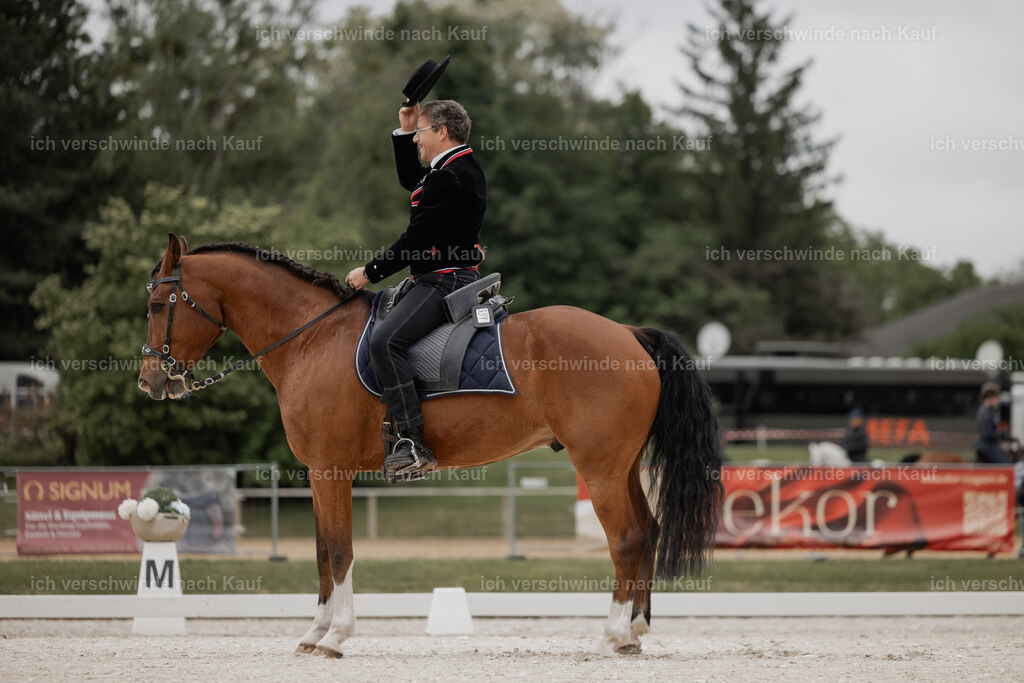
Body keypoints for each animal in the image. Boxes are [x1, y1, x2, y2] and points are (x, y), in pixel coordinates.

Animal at [138, 233, 723, 657]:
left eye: (159, 304)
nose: (149, 381)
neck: (311, 338)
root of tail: (627, 333)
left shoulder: (330, 470)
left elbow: (339, 550)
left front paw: (335, 636)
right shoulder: (320, 474)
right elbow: (324, 552)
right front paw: (314, 633)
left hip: (599, 470)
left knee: (626, 539)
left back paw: (613, 636)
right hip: (623, 467)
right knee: (648, 531)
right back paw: (636, 631)